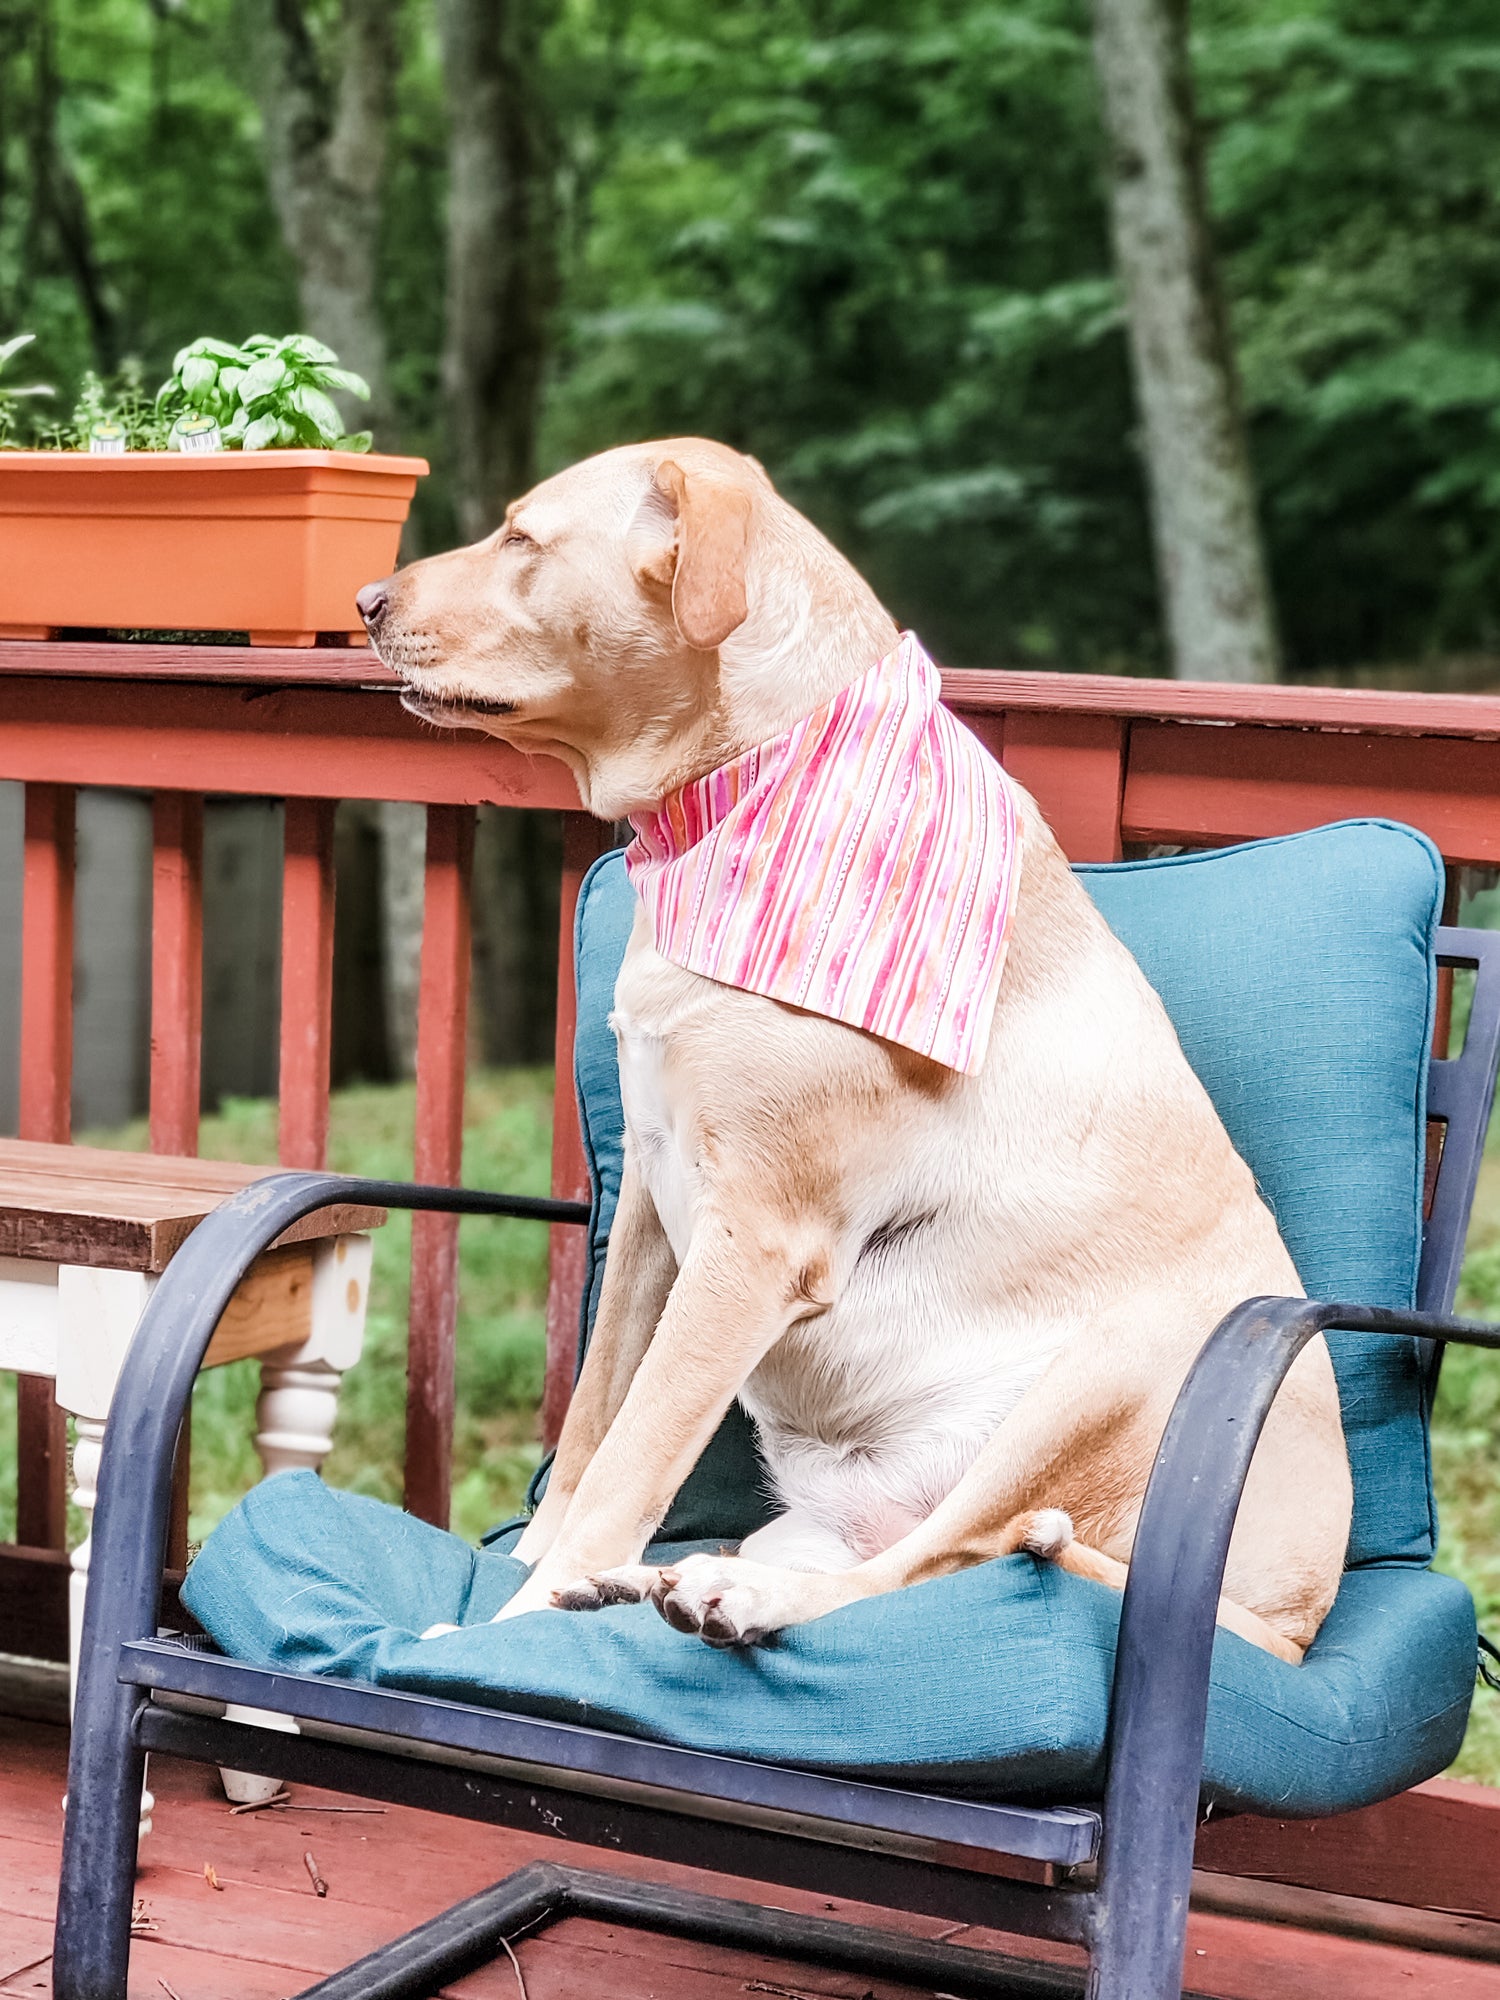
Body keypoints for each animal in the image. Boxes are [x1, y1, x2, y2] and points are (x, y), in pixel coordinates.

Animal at [358, 442, 1360, 1672]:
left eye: (521, 539)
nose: (365, 601)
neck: (741, 788)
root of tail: (1294, 1629)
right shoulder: (650, 1199)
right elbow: (593, 1422)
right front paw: (538, 1569)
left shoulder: (754, 1240)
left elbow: (634, 1453)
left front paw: (519, 1617)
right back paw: (653, 1583)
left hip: (1106, 1375)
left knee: (948, 1563)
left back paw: (736, 1598)